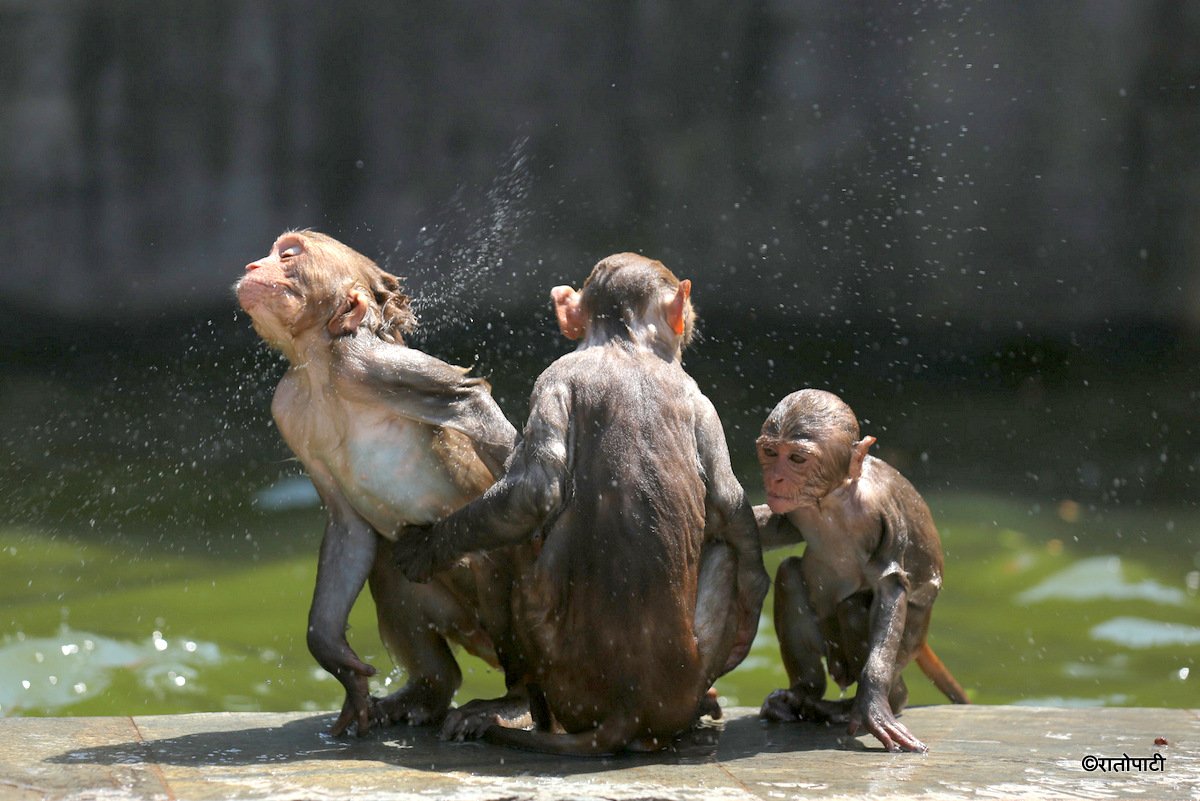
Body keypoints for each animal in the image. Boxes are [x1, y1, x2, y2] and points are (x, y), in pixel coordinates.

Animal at [235, 230, 524, 737]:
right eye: (273, 253)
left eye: (288, 256)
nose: (253, 266)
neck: (320, 371)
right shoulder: (286, 406)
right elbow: (348, 526)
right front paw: (339, 663)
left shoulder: (370, 364)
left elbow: (470, 404)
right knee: (392, 559)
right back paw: (430, 691)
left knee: (492, 556)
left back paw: (514, 700)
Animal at [392, 252, 770, 756]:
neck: (624, 345)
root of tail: (629, 709)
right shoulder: (694, 398)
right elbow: (729, 502)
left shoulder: (558, 377)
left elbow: (533, 493)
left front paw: (426, 548)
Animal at [753, 389, 968, 753]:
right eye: (770, 452)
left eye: (796, 458)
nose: (775, 477)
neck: (833, 497)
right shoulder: (794, 506)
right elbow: (773, 528)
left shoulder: (882, 509)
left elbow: (890, 587)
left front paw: (873, 705)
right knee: (789, 574)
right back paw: (802, 694)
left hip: (908, 640)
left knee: (854, 606)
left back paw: (879, 700)